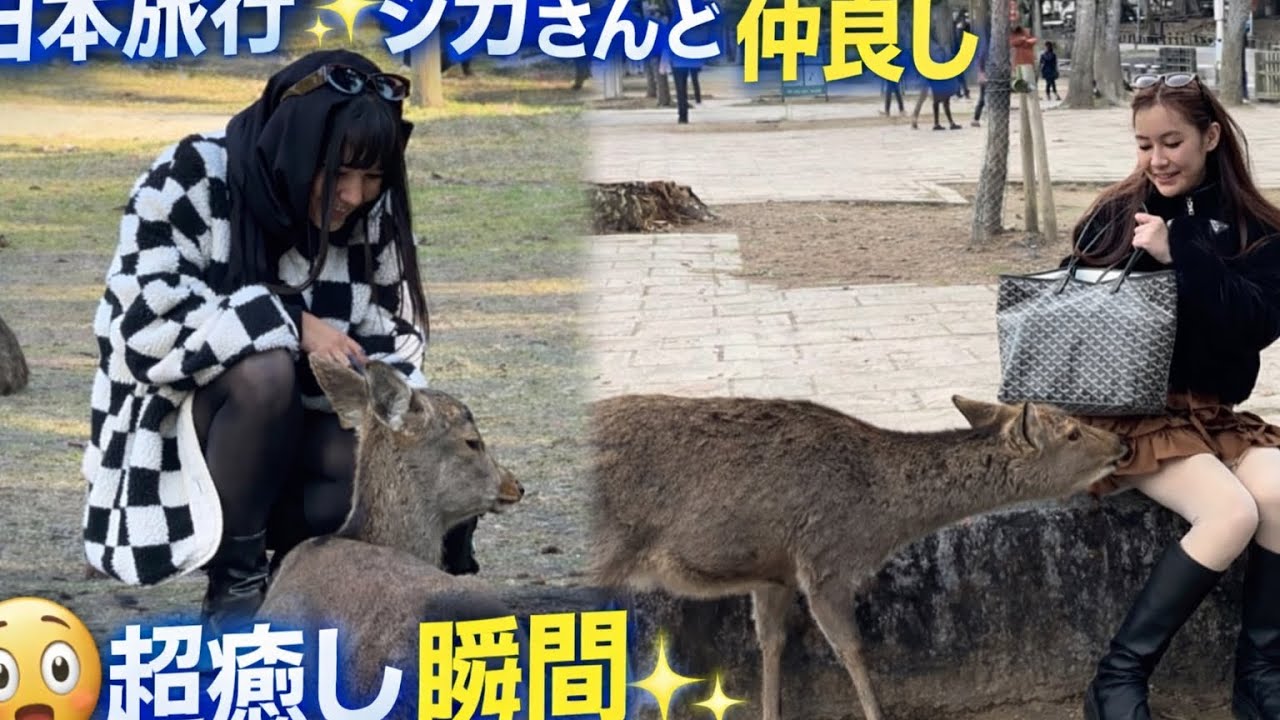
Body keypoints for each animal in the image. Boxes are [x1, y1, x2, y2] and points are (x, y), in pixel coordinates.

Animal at [588, 394, 1130, 720]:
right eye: (1073, 433)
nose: (1123, 442)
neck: (880, 521)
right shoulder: (827, 562)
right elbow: (851, 648)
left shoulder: (774, 574)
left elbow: (771, 644)